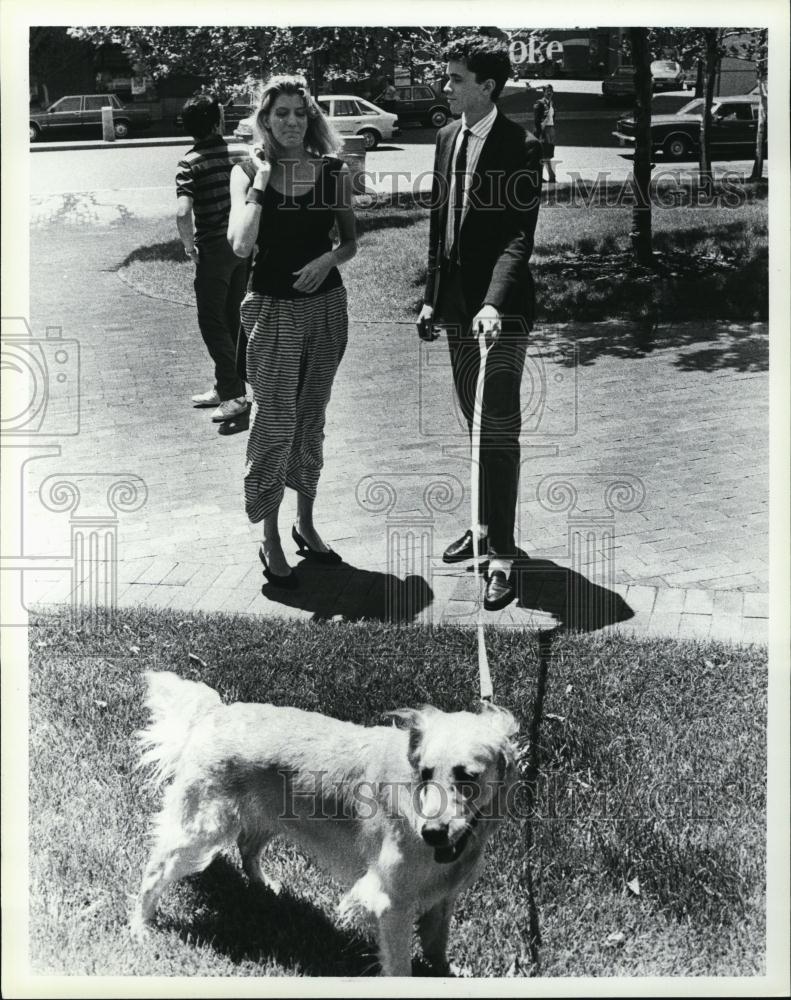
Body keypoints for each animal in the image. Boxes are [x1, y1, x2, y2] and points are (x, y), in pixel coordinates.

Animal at [131, 672, 520, 976]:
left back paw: (264, 884)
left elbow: (437, 947)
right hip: (202, 828)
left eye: (467, 776)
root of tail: (217, 711)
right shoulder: (391, 901)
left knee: (248, 845)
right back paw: (139, 926)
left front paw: (449, 973)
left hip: (269, 814)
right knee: (154, 872)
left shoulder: (444, 897)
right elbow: (400, 967)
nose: (433, 834)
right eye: (425, 773)